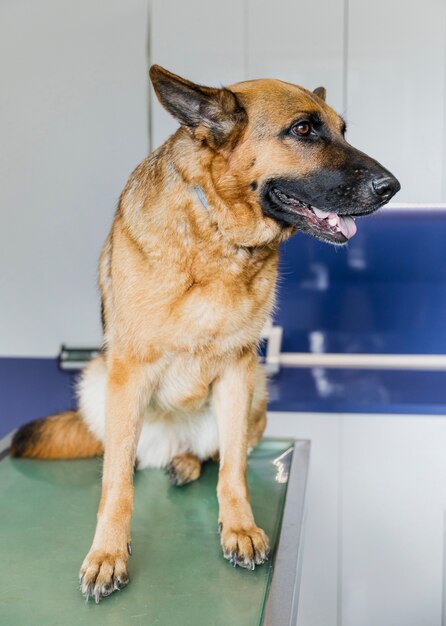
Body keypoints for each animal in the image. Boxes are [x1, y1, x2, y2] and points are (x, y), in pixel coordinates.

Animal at [10, 64, 400, 600]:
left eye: (343, 131)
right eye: (304, 129)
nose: (393, 186)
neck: (218, 233)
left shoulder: (238, 369)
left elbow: (233, 469)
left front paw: (238, 528)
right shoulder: (128, 371)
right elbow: (116, 486)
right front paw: (107, 553)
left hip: (255, 391)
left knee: (210, 453)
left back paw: (186, 462)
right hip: (96, 379)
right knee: (123, 458)